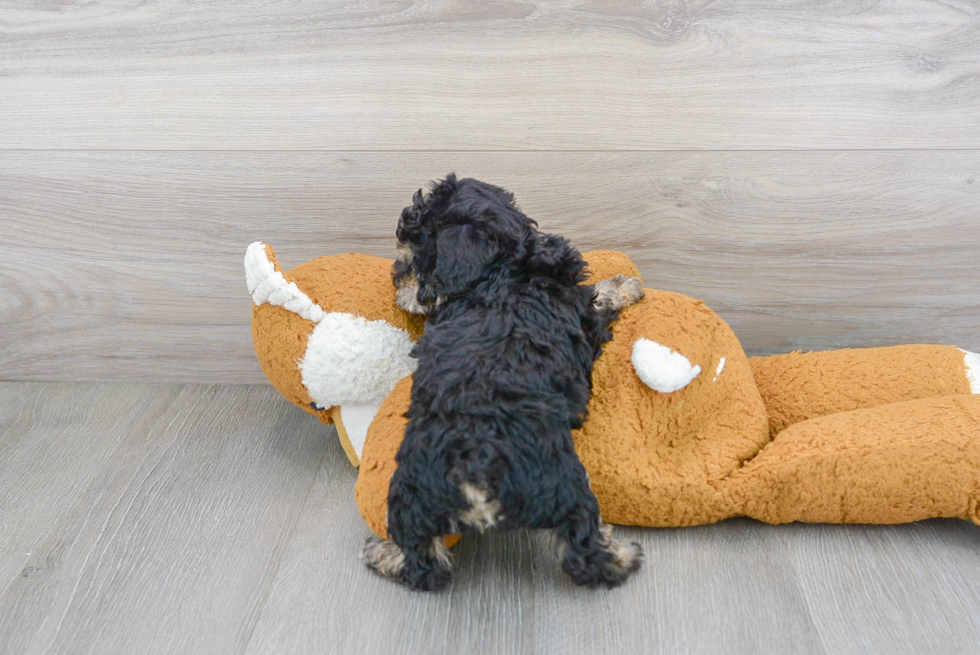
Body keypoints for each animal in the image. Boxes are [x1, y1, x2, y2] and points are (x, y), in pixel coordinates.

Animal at [364, 177, 648, 592]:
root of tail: (476, 465)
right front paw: (626, 285)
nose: (396, 282)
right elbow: (599, 296)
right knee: (584, 552)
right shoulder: (581, 311)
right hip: (564, 484)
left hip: (410, 493)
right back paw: (625, 554)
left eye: (413, 254)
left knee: (423, 560)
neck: (503, 272)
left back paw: (385, 553)